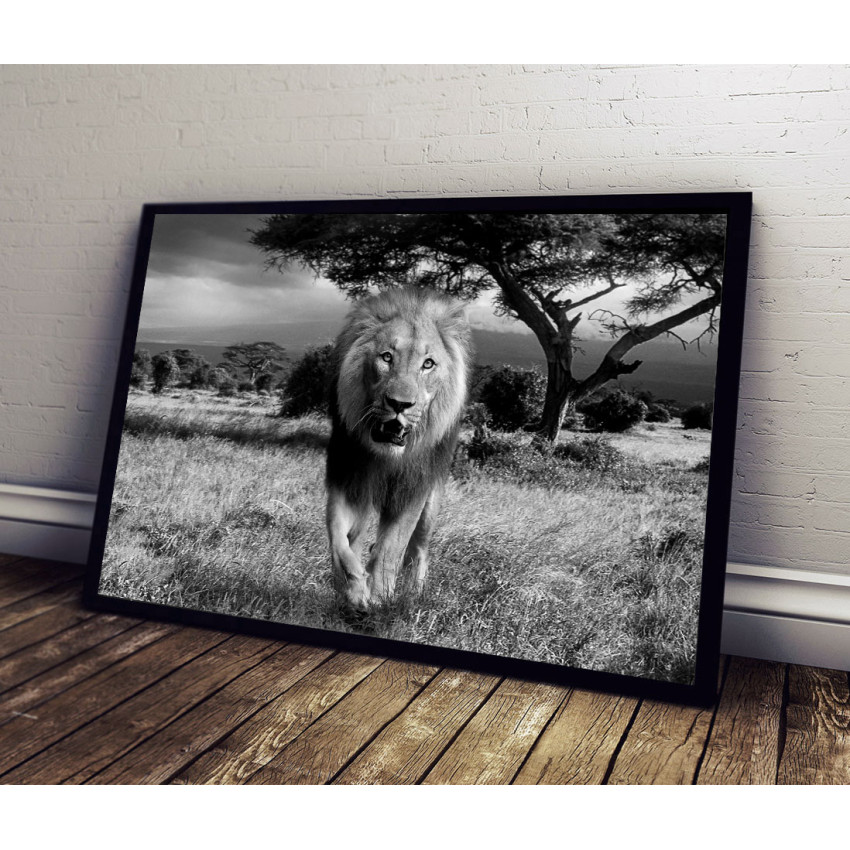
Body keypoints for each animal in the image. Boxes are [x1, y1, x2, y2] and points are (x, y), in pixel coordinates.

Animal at [325, 287, 471, 612]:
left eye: (428, 364)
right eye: (386, 357)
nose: (399, 405)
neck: (386, 456)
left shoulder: (412, 491)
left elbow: (391, 549)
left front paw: (379, 596)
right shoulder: (348, 478)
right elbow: (338, 538)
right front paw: (354, 590)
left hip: (432, 504)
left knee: (419, 549)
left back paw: (414, 594)